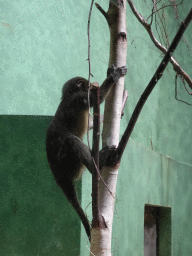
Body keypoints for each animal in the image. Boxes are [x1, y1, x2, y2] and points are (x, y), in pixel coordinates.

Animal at [46, 64, 127, 240]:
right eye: (88, 85)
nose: (91, 86)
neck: (68, 95)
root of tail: (59, 177)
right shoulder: (79, 99)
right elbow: (98, 98)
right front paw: (114, 75)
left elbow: (91, 121)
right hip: (69, 165)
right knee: (72, 141)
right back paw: (95, 164)